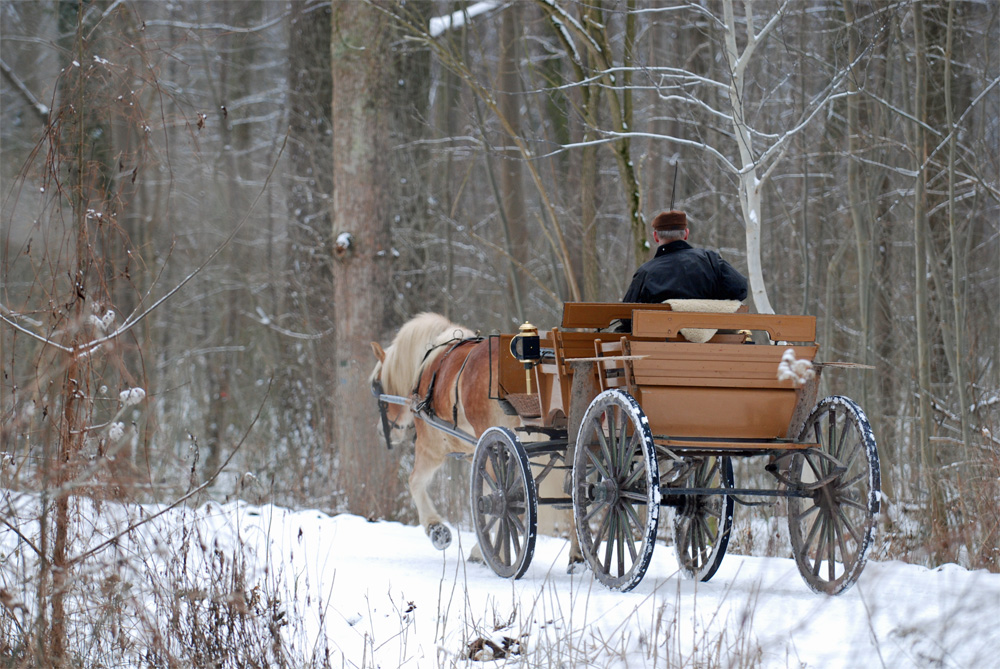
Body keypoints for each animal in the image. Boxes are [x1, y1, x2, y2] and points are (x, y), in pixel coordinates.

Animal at [370, 314, 584, 568]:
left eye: (377, 384)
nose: (382, 432)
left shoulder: (431, 446)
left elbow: (415, 482)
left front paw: (437, 530)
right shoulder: (474, 451)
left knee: (509, 500)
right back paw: (577, 555)